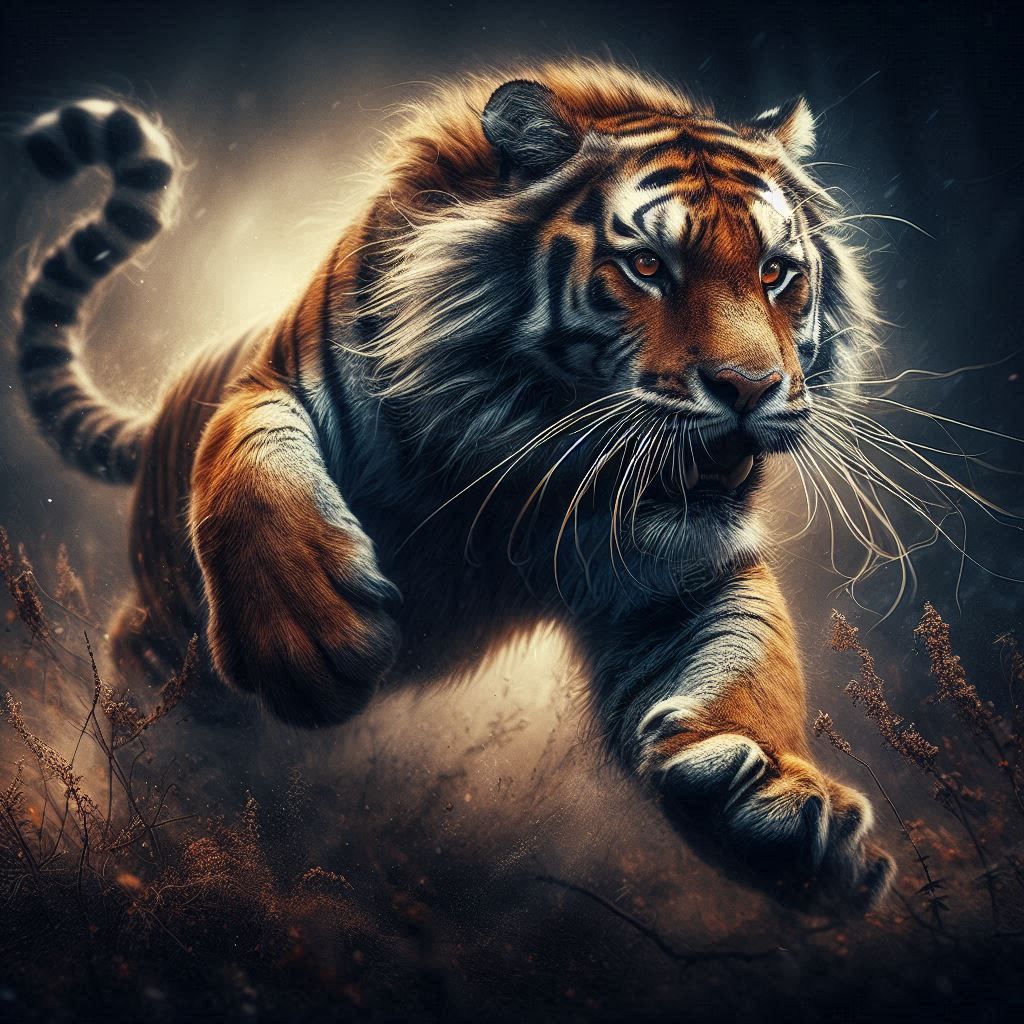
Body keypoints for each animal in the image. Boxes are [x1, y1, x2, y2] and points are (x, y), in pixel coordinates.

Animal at [14, 61, 894, 912]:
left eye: (777, 274)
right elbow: (252, 457)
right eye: (647, 266)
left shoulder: (675, 568)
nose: (751, 388)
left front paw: (784, 808)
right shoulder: (276, 383)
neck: (523, 454)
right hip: (169, 624)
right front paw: (308, 642)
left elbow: (749, 654)